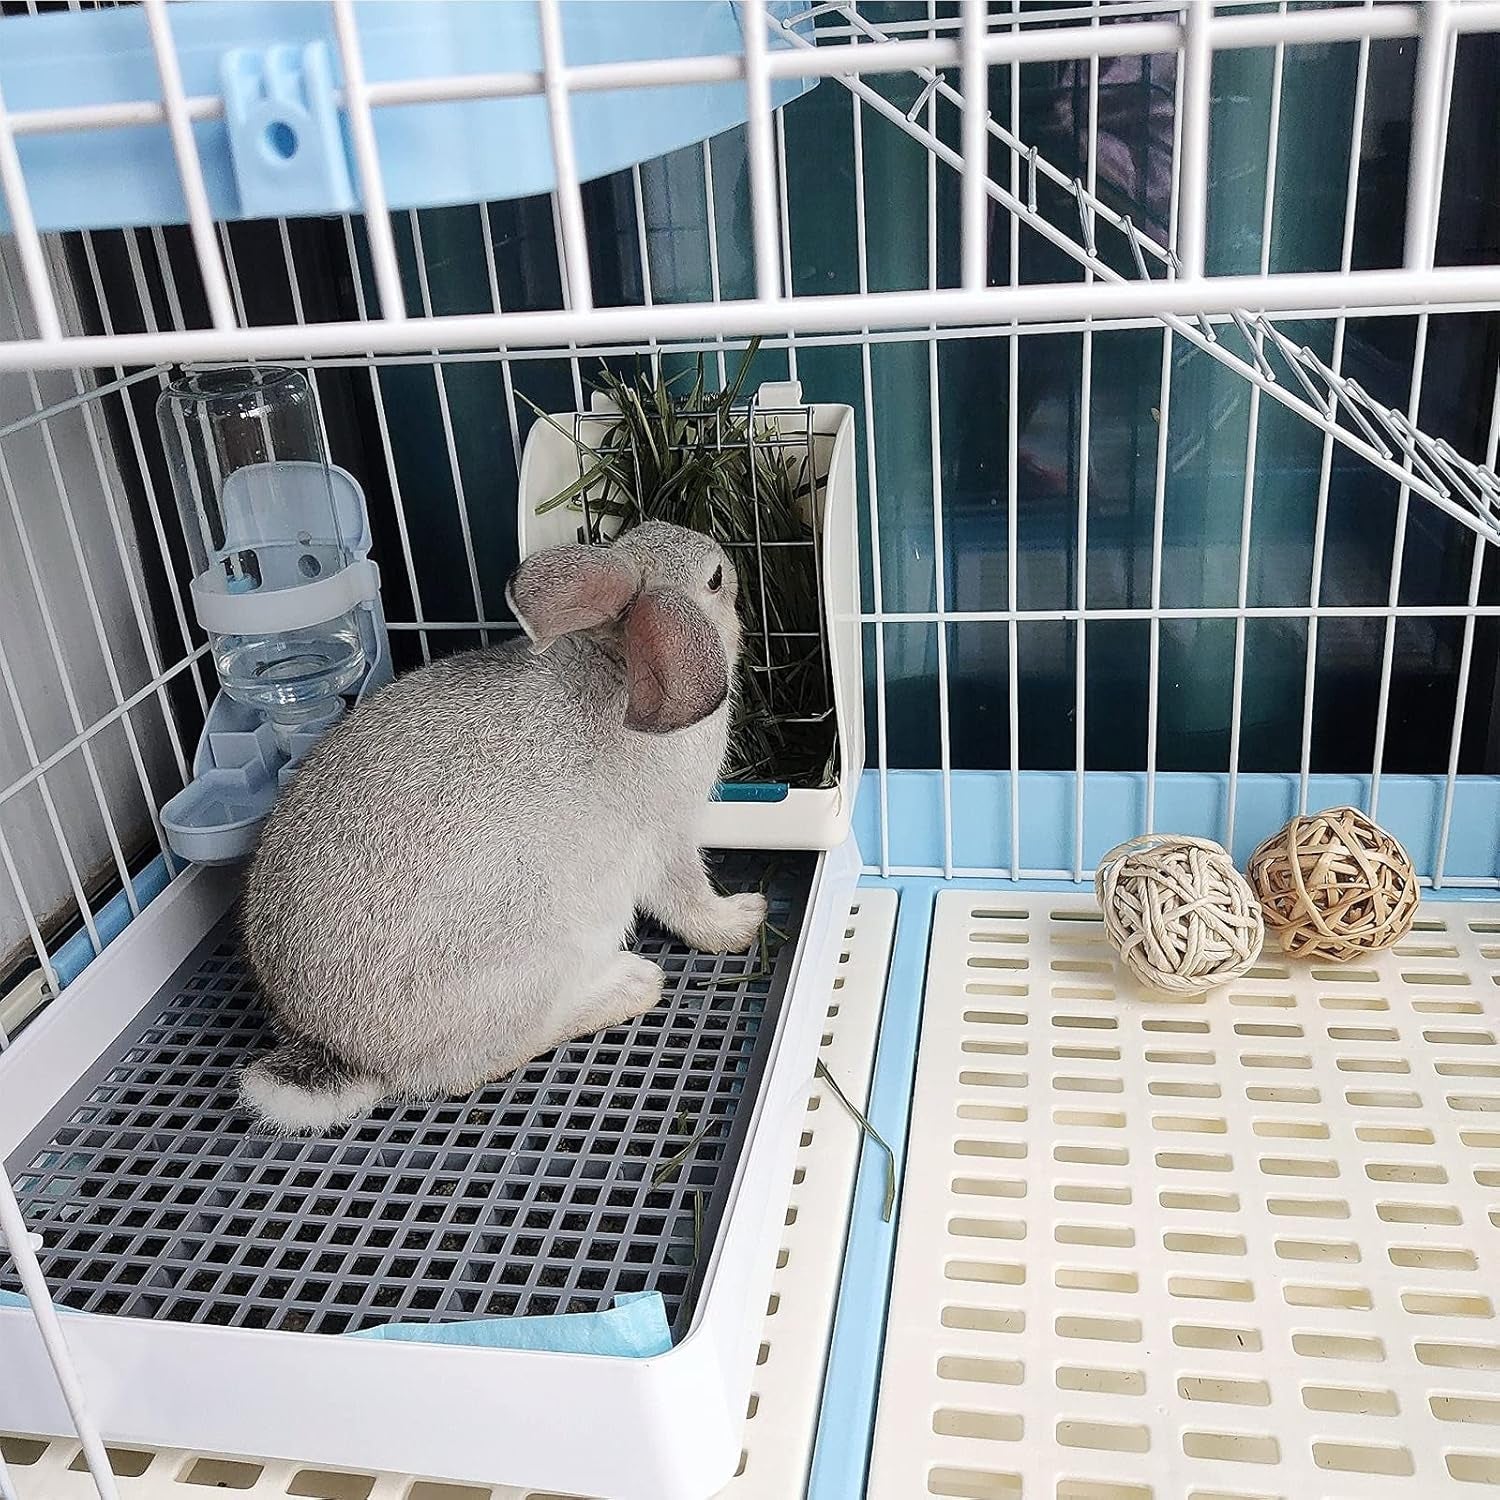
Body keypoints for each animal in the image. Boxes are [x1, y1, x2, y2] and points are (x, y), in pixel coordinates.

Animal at [238, 519, 766, 1133]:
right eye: (715, 579)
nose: (726, 557)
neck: (616, 661)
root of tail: (341, 1050)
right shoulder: (668, 839)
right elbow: (689, 902)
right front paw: (743, 920)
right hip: (543, 960)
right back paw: (634, 985)